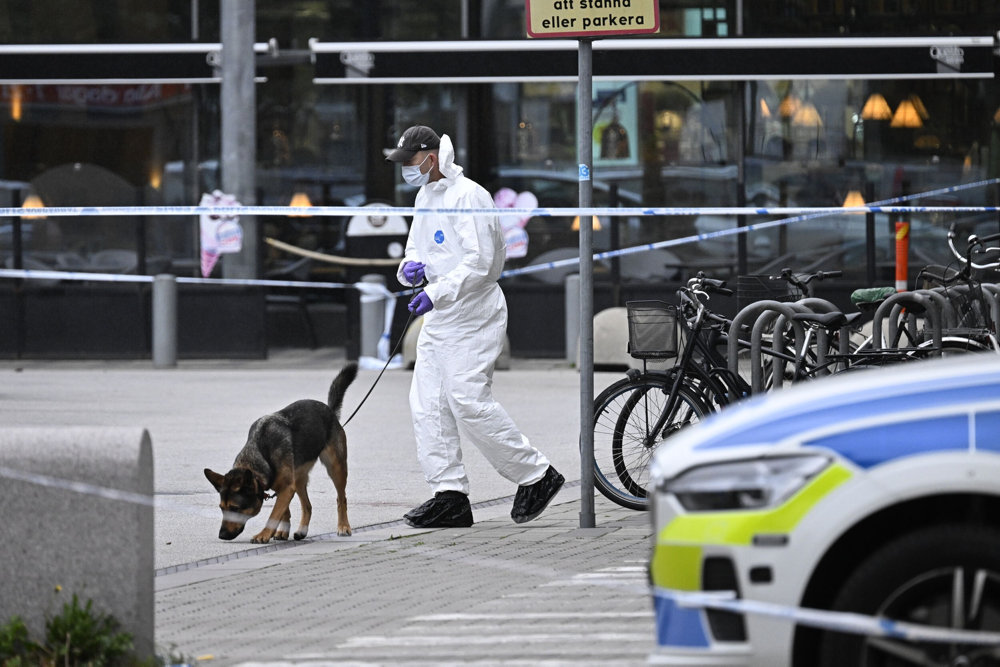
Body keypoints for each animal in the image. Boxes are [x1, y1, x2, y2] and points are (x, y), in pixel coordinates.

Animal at [205, 366, 358, 544]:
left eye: (235, 508)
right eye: (221, 508)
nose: (221, 535)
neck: (260, 452)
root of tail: (329, 410)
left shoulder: (286, 487)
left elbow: (274, 514)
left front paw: (264, 534)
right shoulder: (284, 487)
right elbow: (284, 511)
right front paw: (282, 531)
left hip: (336, 468)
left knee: (341, 498)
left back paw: (343, 526)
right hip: (299, 478)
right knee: (307, 506)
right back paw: (302, 530)